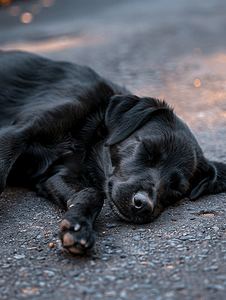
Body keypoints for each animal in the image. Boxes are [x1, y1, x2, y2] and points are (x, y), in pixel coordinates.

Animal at [0, 51, 226, 253]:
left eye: (177, 189)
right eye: (147, 149)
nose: (143, 205)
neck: (89, 130)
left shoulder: (55, 175)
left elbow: (93, 193)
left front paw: (78, 226)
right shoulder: (14, 135)